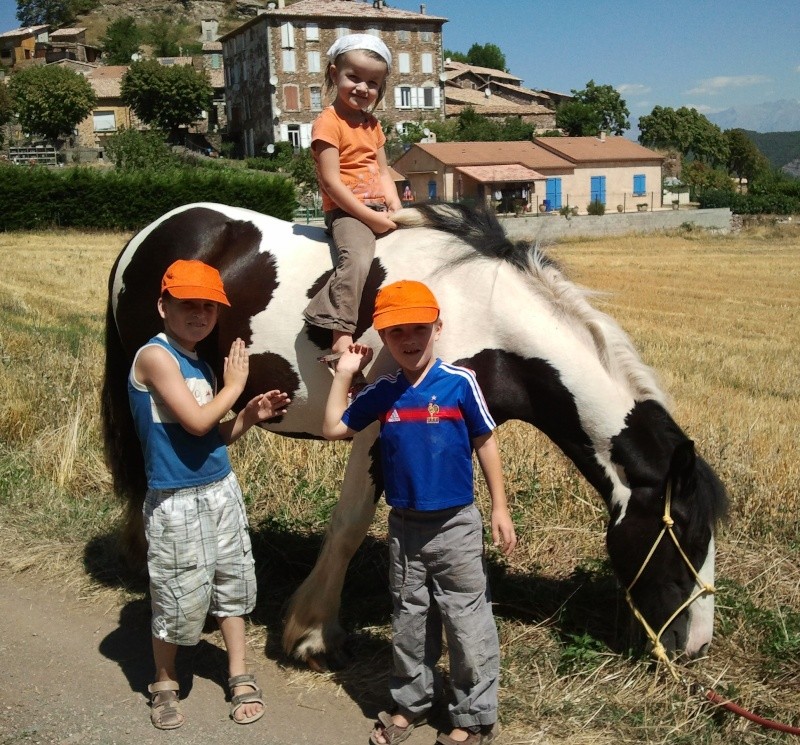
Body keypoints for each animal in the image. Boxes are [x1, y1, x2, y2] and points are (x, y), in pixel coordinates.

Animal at [103, 201, 728, 664]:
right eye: (686, 535)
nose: (696, 644)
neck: (484, 316)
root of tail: (151, 232)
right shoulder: (374, 424)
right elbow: (350, 523)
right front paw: (312, 632)